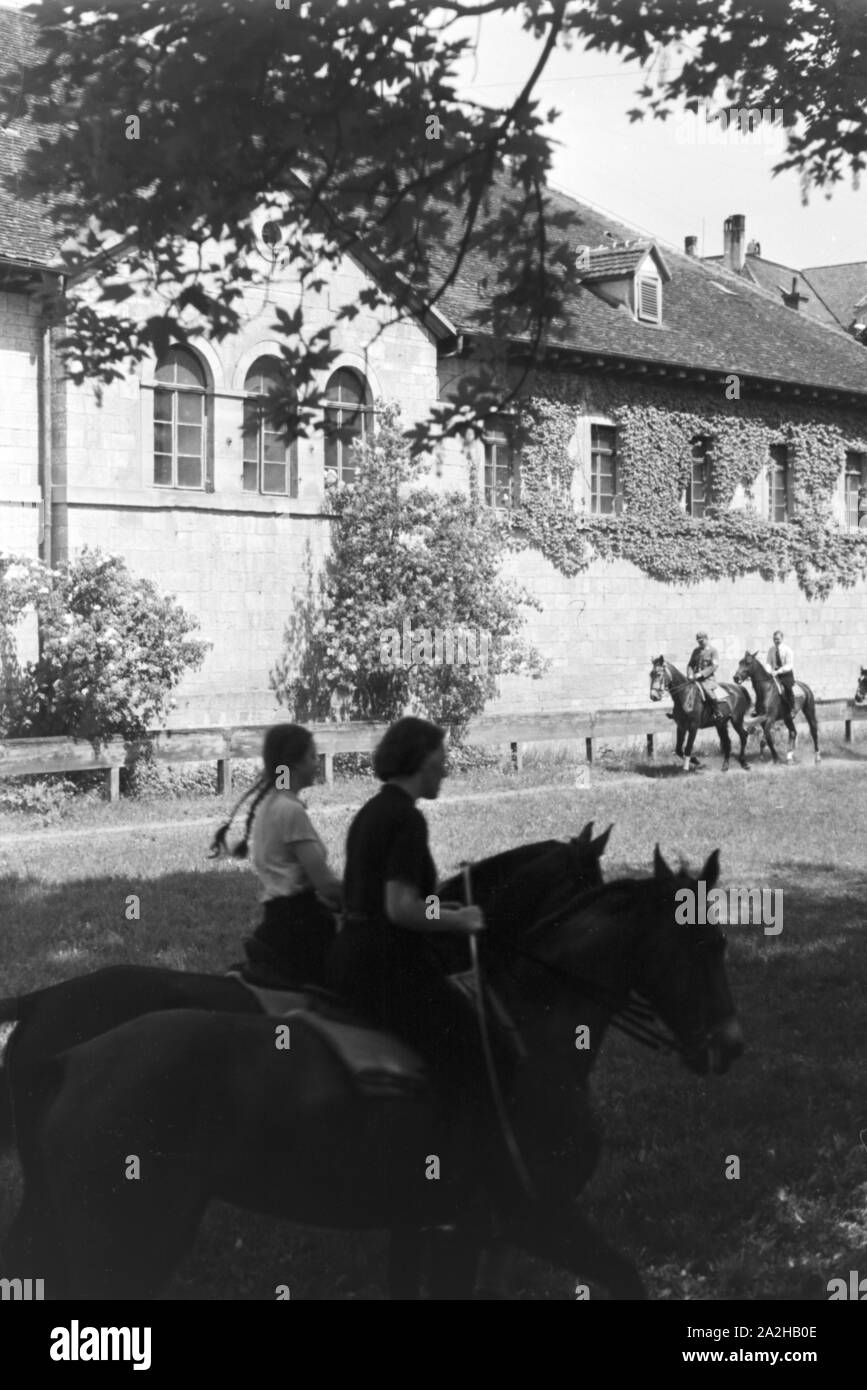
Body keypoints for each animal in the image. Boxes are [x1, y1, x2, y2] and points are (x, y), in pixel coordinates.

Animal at [5, 845, 739, 1301]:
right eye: (709, 942)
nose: (728, 1046)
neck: (527, 1035)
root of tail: (62, 1043)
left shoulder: (443, 1230)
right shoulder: (529, 1216)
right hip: (127, 1237)